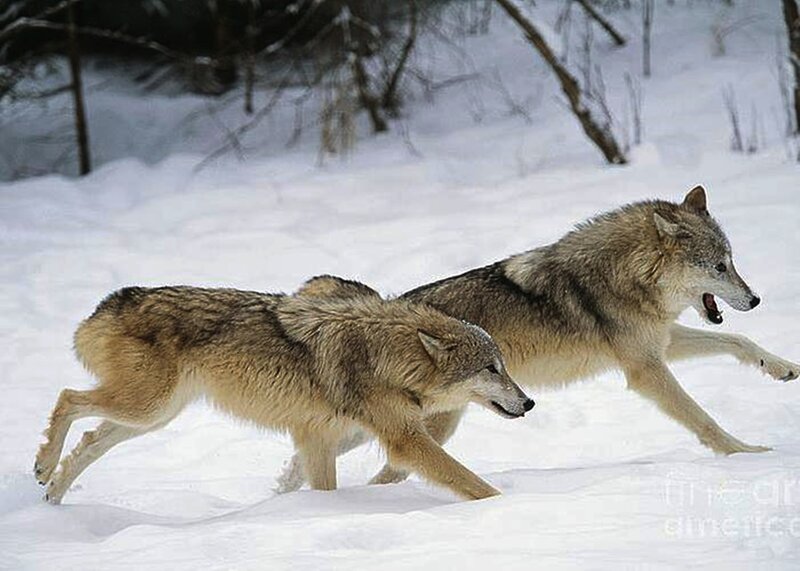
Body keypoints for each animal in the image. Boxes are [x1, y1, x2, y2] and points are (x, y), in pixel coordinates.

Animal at [34, 285, 533, 504]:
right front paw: (508, 508)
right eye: (491, 368)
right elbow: (470, 481)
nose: (529, 402)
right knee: (66, 397)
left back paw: (54, 493)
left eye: (504, 366)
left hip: (151, 417)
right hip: (146, 407)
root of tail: (113, 301)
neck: (384, 355)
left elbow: (322, 488)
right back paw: (43, 467)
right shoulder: (404, 440)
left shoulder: (319, 437)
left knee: (89, 440)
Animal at [278, 186, 799, 491]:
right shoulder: (646, 369)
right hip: (423, 426)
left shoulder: (661, 344)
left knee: (316, 459)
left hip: (400, 425)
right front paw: (746, 455)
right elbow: (704, 420)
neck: (622, 276)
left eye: (732, 261)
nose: (755, 300)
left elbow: (740, 343)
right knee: (375, 472)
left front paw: (783, 368)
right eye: (719, 267)